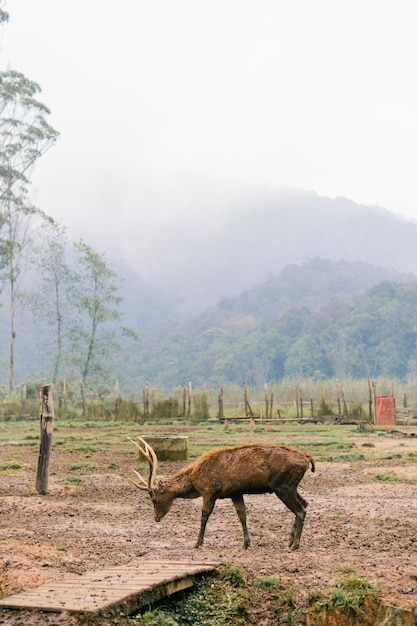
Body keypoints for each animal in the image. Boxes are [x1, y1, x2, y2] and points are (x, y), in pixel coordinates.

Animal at [128, 436, 314, 548]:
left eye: (154, 499)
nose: (156, 518)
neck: (195, 480)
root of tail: (307, 459)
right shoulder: (235, 493)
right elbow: (242, 515)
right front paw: (246, 543)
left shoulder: (210, 491)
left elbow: (204, 515)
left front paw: (197, 543)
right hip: (291, 486)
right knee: (305, 503)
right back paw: (290, 541)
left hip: (282, 486)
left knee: (300, 510)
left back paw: (295, 545)